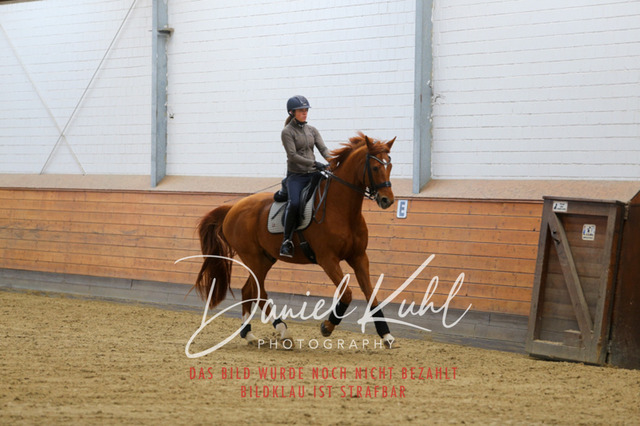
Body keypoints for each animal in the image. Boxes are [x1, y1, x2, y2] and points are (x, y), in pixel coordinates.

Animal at [194, 132, 397, 348]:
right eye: (375, 167)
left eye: (389, 165)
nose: (387, 200)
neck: (342, 211)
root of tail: (233, 208)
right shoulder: (328, 260)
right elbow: (347, 293)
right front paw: (327, 326)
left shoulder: (359, 257)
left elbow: (371, 294)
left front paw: (386, 334)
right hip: (253, 258)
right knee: (259, 293)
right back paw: (283, 331)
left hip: (265, 259)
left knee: (248, 290)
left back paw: (248, 334)